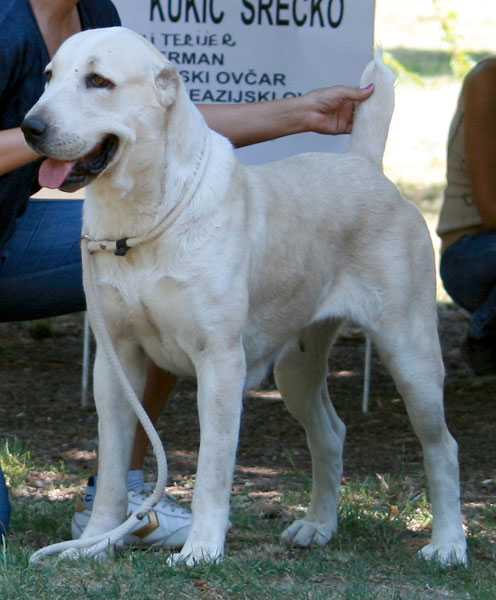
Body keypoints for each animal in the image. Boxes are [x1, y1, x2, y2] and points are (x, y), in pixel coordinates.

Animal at [22, 24, 464, 568]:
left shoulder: (219, 363)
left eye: (99, 81)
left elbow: (212, 468)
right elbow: (110, 467)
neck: (144, 215)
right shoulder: (115, 361)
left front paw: (201, 550)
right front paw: (96, 541)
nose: (29, 127)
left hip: (410, 353)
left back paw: (448, 544)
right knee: (330, 433)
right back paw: (317, 527)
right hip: (296, 366)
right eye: (48, 76)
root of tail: (366, 167)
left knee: (441, 446)